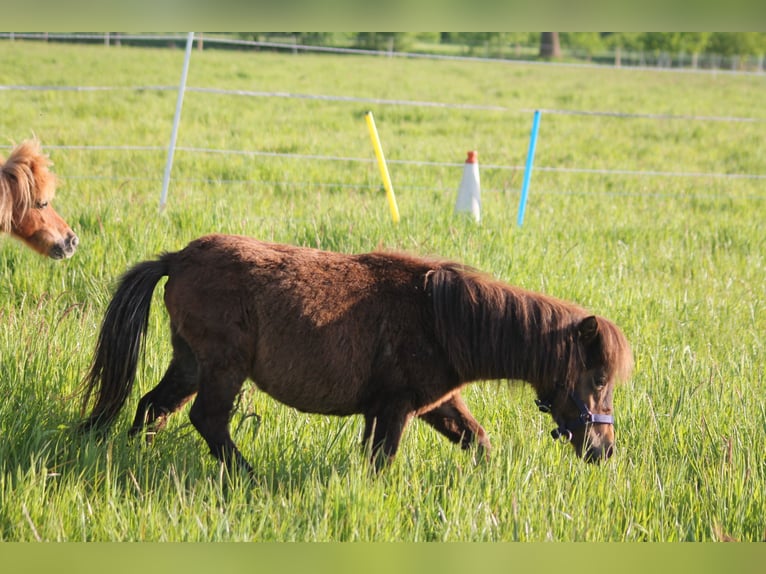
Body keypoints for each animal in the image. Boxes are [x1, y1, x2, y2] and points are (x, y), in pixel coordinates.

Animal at [82, 232, 636, 474]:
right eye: (598, 380)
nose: (604, 451)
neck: (439, 317)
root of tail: (177, 258)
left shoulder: (432, 406)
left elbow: (477, 442)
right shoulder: (396, 408)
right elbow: (381, 462)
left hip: (191, 363)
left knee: (153, 406)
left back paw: (124, 457)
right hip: (222, 367)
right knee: (208, 420)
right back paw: (249, 479)